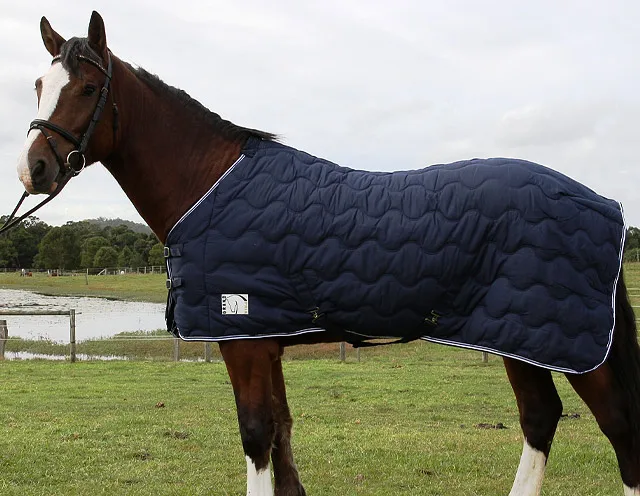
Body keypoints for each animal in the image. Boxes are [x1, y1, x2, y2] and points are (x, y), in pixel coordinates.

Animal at [14, 11, 640, 496]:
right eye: (40, 86)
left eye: (88, 89)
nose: (33, 168)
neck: (210, 183)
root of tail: (601, 202)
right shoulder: (267, 341)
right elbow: (282, 437)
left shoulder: (244, 344)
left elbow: (256, 436)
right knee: (543, 417)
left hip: (562, 342)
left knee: (614, 425)